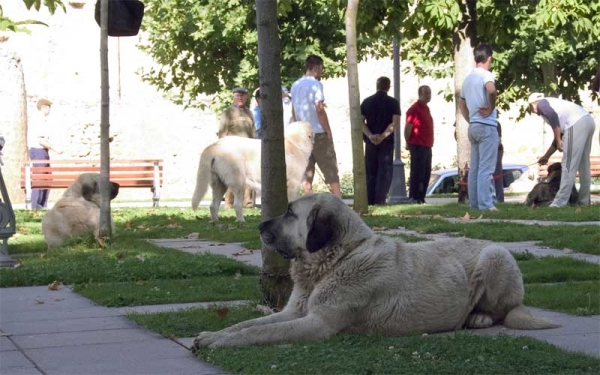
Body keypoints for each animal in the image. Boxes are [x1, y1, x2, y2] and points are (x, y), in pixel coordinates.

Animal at [193, 195, 564, 352]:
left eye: (289, 213)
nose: (259, 226)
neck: (337, 259)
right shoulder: (293, 312)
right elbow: (248, 324)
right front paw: (213, 335)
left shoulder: (318, 324)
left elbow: (259, 333)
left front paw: (220, 342)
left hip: (495, 255)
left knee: (504, 310)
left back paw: (480, 317)